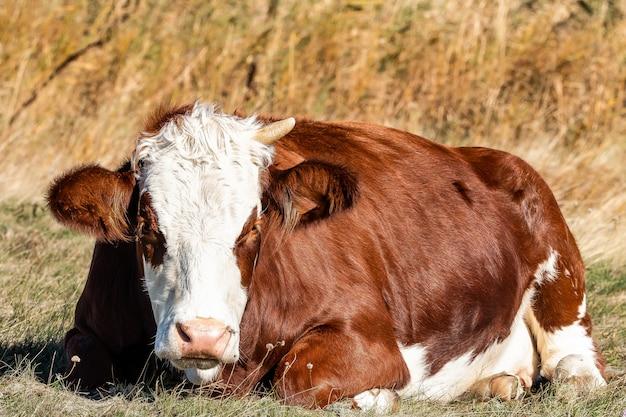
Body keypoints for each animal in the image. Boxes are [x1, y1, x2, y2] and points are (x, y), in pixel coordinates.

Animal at [47, 101, 604, 410]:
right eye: (147, 226)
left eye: (254, 226)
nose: (202, 334)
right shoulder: (89, 326)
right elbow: (81, 364)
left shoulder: (371, 338)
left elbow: (299, 376)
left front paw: (375, 397)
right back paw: (498, 385)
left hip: (559, 268)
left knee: (575, 363)